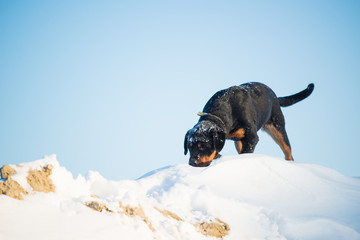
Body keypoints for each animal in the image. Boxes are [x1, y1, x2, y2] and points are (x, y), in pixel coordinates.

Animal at [184, 82, 314, 167]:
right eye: (189, 146)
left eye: (203, 145)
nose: (192, 162)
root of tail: (275, 96)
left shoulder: (252, 137)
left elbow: (246, 152)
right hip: (239, 141)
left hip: (278, 127)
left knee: (288, 151)